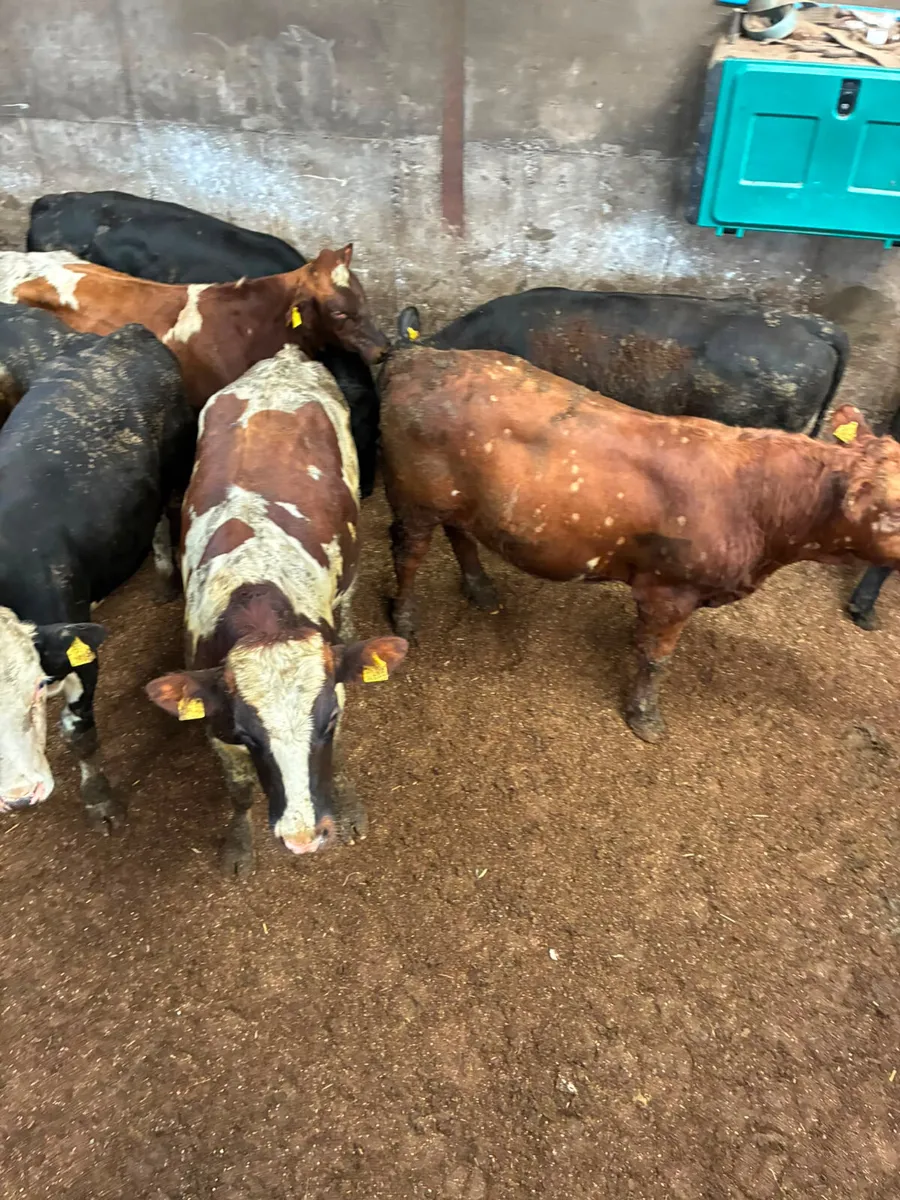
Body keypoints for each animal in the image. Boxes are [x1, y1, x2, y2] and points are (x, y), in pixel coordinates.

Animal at [0, 324, 195, 827]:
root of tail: (125, 334)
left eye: (35, 689)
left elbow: (80, 733)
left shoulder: (78, 650)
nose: (21, 797)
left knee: (164, 520)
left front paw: (100, 800)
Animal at [145, 345, 407, 877]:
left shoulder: (336, 695)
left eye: (326, 720)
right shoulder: (217, 728)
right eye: (250, 735)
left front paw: (347, 806)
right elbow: (240, 791)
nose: (303, 836)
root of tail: (286, 357)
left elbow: (339, 756)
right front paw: (238, 844)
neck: (255, 593)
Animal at [378, 347, 900, 742]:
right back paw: (404, 620)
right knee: (408, 554)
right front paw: (644, 717)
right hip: (414, 499)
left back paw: (481, 588)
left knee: (460, 533)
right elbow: (655, 658)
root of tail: (417, 353)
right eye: (894, 511)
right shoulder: (671, 591)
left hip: (461, 501)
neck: (759, 499)